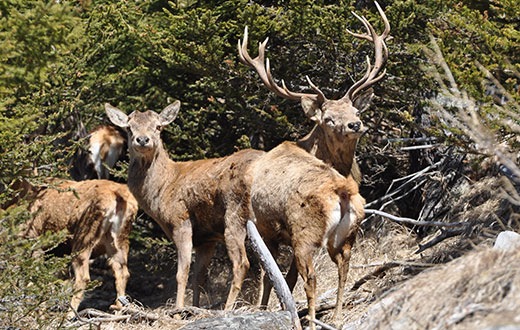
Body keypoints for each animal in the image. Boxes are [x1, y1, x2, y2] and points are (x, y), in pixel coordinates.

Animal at [21, 179, 138, 318]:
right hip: (119, 239)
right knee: (122, 272)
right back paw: (118, 310)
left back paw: (69, 314)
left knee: (83, 277)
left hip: (84, 234)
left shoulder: (35, 240)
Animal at [104, 100, 264, 310]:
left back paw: (229, 308)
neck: (164, 186)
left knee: (242, 263)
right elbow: (199, 278)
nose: (143, 139)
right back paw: (262, 305)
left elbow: (182, 273)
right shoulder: (206, 238)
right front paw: (194, 307)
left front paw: (179, 309)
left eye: (158, 127)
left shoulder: (181, 220)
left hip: (235, 213)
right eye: (129, 128)